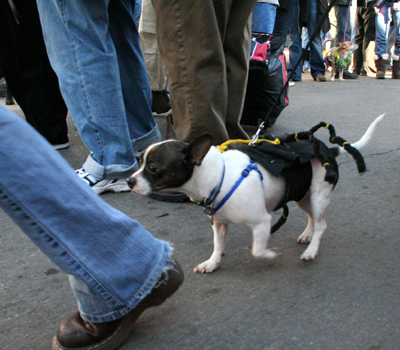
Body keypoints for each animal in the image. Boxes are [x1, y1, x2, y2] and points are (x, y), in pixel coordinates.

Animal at [129, 115, 384, 274]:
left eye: (153, 168)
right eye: (139, 161)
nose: (130, 180)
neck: (219, 177)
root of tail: (329, 150)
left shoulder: (262, 222)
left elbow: (257, 250)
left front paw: (270, 255)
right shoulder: (219, 223)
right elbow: (217, 245)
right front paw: (212, 263)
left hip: (319, 195)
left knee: (322, 223)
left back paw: (311, 250)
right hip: (303, 195)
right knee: (313, 217)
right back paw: (307, 235)